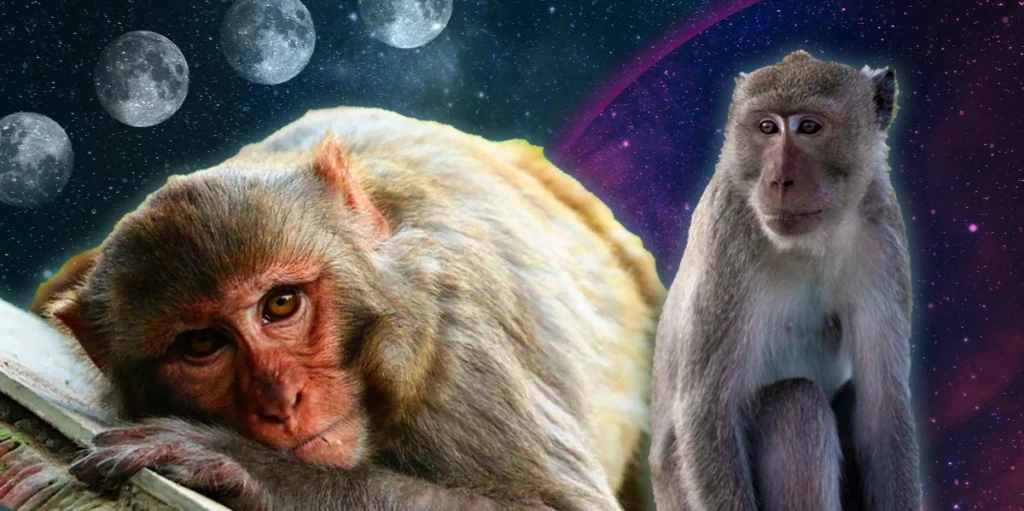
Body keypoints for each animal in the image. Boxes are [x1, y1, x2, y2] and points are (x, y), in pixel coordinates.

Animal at [647, 50, 921, 511]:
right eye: (767, 128)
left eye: (809, 127)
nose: (778, 180)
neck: (809, 243)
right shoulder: (729, 230)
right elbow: (708, 410)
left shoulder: (882, 231)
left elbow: (883, 411)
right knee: (796, 403)